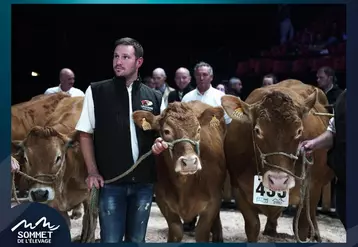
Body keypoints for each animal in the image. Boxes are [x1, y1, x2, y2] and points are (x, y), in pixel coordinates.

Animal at [131, 101, 227, 243]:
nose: (190, 162)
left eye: (198, 129)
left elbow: (201, 232)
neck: (184, 186)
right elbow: (176, 231)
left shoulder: (213, 201)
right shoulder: (163, 201)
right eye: (166, 131)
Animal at [222, 82, 334, 242]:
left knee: (311, 214)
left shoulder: (312, 188)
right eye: (257, 130)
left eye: (299, 131)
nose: (278, 180)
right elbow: (252, 226)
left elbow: (302, 227)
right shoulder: (238, 188)